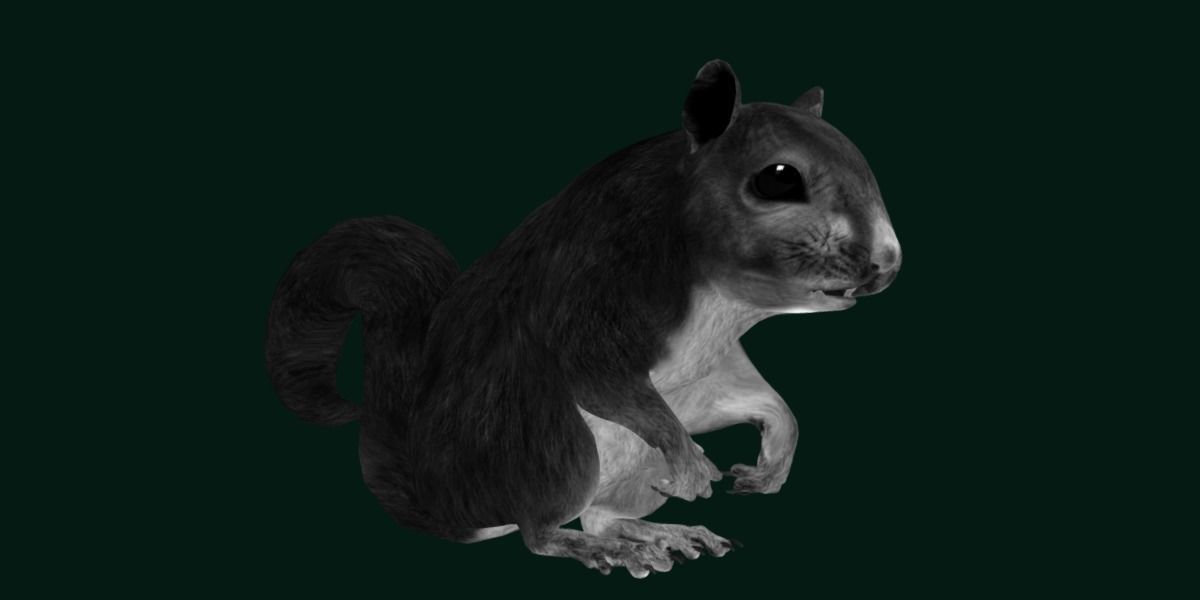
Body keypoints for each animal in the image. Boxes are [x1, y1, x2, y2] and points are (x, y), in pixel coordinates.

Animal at [266, 59, 901, 578]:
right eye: (777, 178)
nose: (888, 263)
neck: (724, 306)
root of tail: (453, 506)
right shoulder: (592, 298)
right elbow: (605, 381)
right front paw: (692, 467)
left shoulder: (712, 368)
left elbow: (761, 401)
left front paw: (770, 465)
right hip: (554, 447)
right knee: (542, 532)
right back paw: (605, 550)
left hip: (621, 473)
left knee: (599, 514)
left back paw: (660, 534)